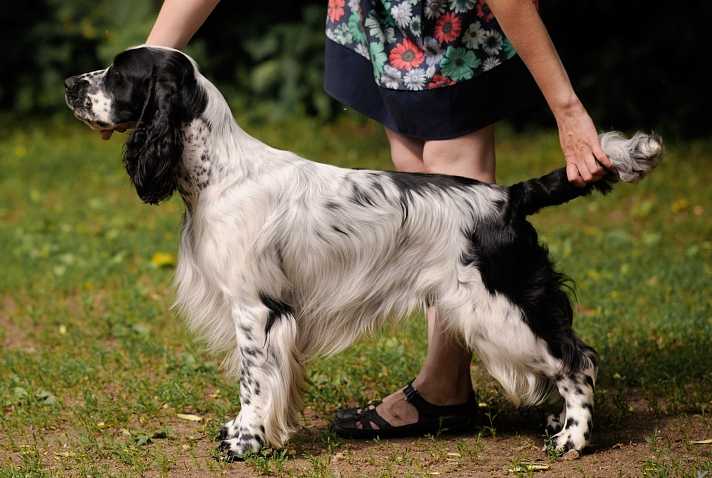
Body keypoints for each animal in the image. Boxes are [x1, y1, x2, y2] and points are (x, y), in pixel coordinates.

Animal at [65, 46, 660, 462]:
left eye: (118, 73)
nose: (70, 84)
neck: (220, 171)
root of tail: (508, 197)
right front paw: (249, 433)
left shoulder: (255, 309)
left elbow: (253, 379)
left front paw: (245, 441)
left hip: (503, 308)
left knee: (578, 360)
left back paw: (571, 440)